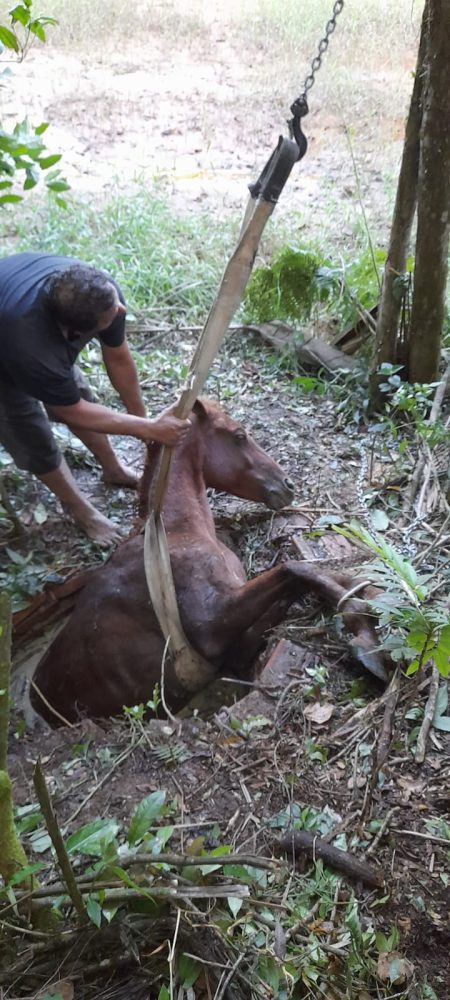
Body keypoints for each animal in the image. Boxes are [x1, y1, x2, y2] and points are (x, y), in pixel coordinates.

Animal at [29, 394, 384, 724]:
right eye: (239, 435)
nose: (288, 485)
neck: (173, 533)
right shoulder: (215, 625)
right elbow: (293, 570)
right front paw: (363, 625)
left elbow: (305, 580)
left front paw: (366, 594)